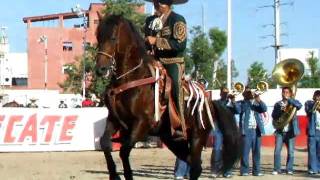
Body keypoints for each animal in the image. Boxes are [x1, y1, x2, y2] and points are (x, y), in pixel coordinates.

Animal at [96, 15, 241, 180]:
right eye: (98, 36)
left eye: (113, 38)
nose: (100, 69)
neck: (130, 78)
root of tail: (210, 102)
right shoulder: (114, 120)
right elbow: (105, 143)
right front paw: (115, 174)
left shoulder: (141, 124)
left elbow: (124, 150)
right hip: (173, 140)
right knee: (192, 163)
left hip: (197, 137)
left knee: (196, 166)